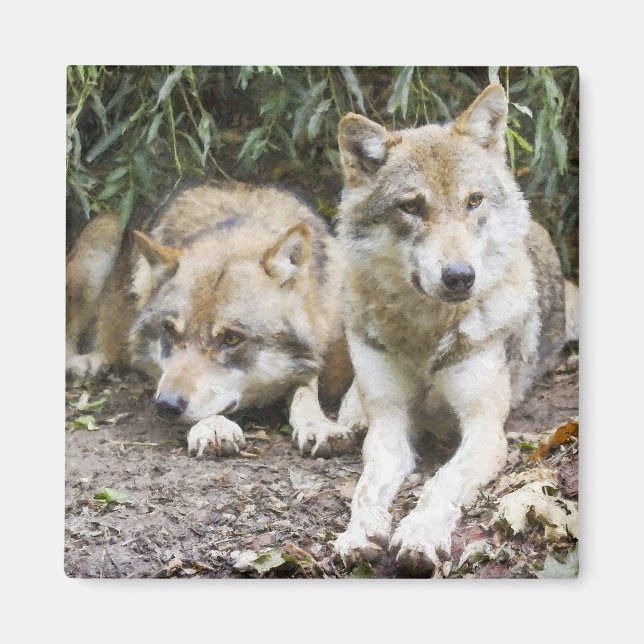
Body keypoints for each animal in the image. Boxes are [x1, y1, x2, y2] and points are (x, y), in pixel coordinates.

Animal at [66, 182, 354, 458]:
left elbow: (306, 391)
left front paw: (319, 425)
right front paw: (214, 426)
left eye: (232, 338)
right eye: (170, 331)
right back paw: (86, 364)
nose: (166, 405)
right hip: (102, 237)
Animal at [332, 84, 573, 572]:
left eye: (473, 201)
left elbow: (440, 482)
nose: (460, 276)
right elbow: (366, 488)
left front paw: (420, 535)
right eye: (412, 206)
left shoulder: (484, 430)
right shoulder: (390, 425)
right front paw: (358, 533)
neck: (424, 336)